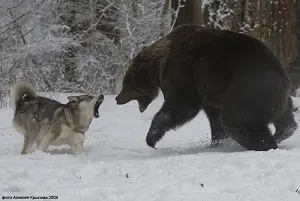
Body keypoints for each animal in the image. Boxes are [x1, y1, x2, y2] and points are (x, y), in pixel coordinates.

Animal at [115, 24, 298, 151]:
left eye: (127, 84)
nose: (117, 98)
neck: (158, 65)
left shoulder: (184, 74)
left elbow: (181, 106)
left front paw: (151, 138)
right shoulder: (207, 93)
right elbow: (213, 118)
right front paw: (217, 141)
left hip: (248, 89)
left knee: (236, 120)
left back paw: (265, 144)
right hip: (276, 98)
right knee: (284, 118)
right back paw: (283, 132)